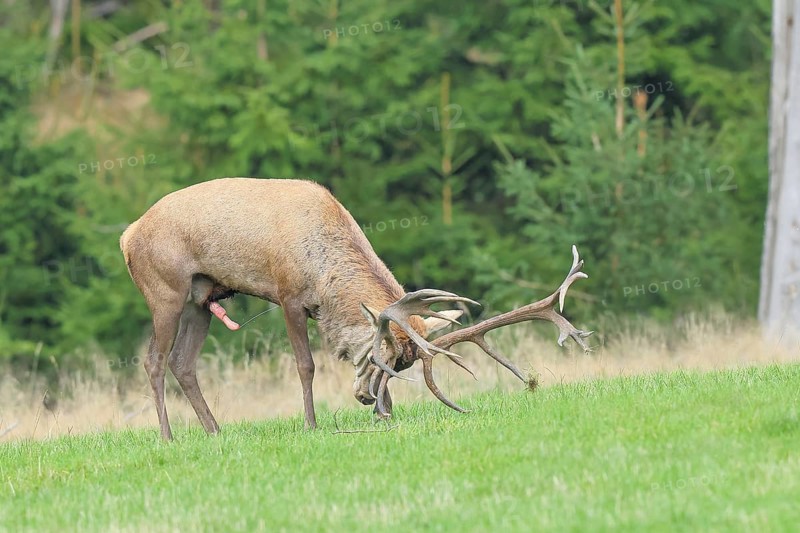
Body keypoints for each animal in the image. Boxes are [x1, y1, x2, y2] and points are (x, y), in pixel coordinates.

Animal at [120, 178, 592, 440]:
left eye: (400, 365)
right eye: (377, 356)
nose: (369, 400)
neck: (323, 274)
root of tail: (127, 235)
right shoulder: (288, 295)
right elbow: (306, 364)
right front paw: (310, 424)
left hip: (202, 298)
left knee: (183, 362)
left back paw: (215, 431)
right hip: (165, 291)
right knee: (154, 360)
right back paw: (168, 437)